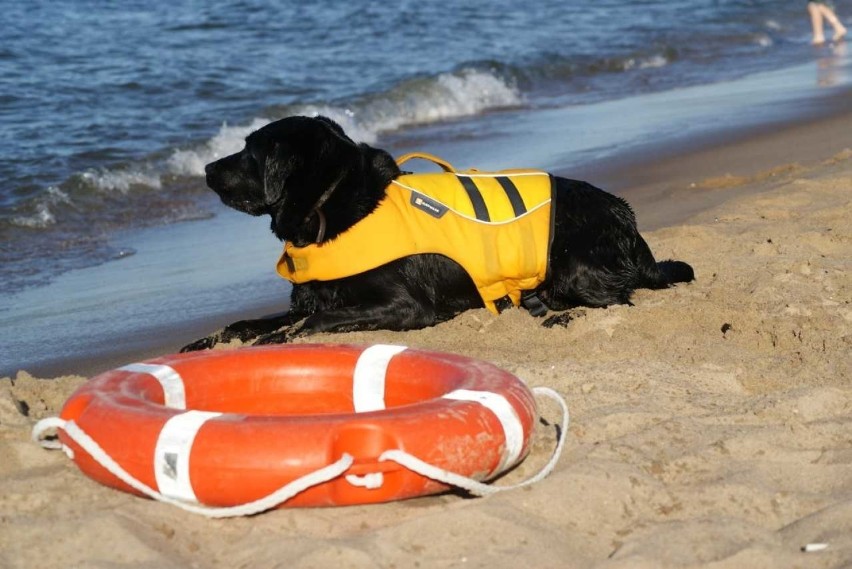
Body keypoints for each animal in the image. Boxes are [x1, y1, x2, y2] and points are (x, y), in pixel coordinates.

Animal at [180, 114, 692, 350]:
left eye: (249, 152)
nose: (204, 168)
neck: (331, 203)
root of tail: (628, 217)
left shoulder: (404, 305)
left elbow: (311, 324)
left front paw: (273, 342)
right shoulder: (308, 298)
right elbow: (244, 324)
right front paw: (206, 343)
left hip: (574, 269)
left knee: (619, 297)